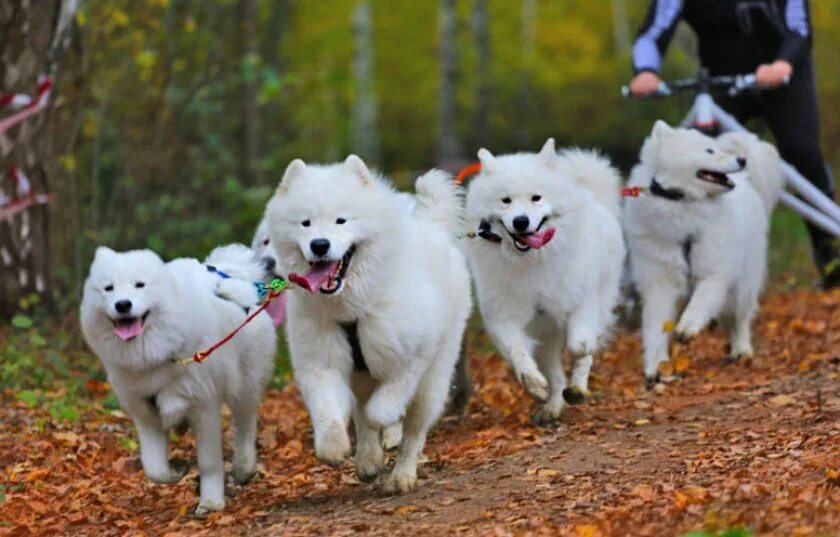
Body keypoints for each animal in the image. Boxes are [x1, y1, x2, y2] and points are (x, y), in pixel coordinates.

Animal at [79, 247, 276, 516]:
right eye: (108, 288)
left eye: (140, 285)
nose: (122, 304)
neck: (153, 358)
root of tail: (231, 274)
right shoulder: (146, 416)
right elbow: (154, 468)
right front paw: (176, 471)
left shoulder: (204, 408)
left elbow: (209, 463)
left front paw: (211, 502)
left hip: (244, 385)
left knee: (245, 425)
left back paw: (243, 467)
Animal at [264, 154, 472, 490]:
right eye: (305, 223)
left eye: (341, 221)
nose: (319, 245)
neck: (351, 310)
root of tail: (433, 227)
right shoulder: (321, 361)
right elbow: (329, 409)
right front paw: (333, 447)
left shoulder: (410, 356)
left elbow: (384, 407)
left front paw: (385, 424)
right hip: (361, 375)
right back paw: (368, 460)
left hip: (434, 378)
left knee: (413, 432)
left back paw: (401, 476)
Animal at [462, 138, 628, 422]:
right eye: (505, 200)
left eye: (536, 198)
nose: (521, 221)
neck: (532, 260)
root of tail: (593, 197)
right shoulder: (503, 317)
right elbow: (518, 354)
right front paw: (534, 385)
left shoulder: (581, 303)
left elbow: (579, 345)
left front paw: (582, 354)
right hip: (545, 336)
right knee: (555, 374)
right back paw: (552, 405)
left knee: (580, 357)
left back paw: (576, 388)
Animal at [624, 120, 788, 386]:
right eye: (709, 151)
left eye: (715, 147)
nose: (741, 159)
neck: (681, 202)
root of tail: (746, 180)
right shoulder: (660, 283)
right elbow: (655, 328)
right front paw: (656, 366)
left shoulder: (716, 271)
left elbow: (700, 301)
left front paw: (688, 327)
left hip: (744, 281)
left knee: (740, 317)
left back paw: (741, 350)